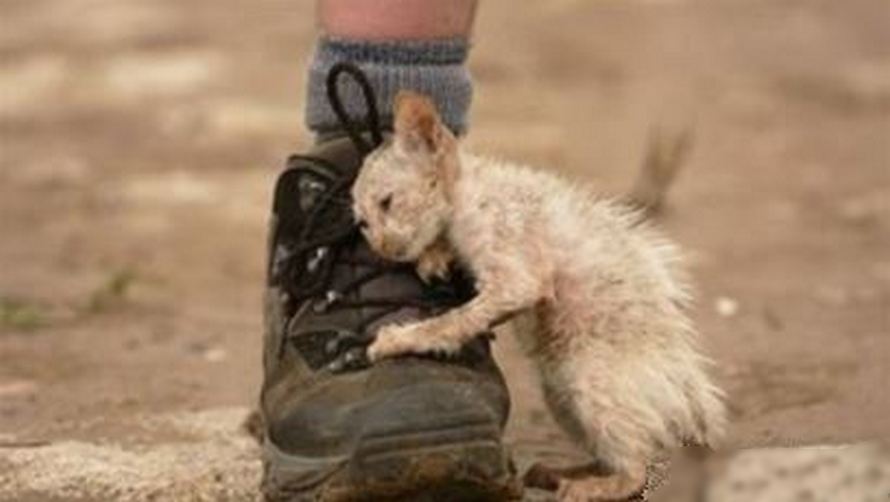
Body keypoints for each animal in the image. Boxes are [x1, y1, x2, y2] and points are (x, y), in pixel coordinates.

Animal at [348, 92, 720, 500]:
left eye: (387, 202)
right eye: (362, 223)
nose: (383, 249)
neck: (468, 193)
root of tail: (693, 400)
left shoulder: (517, 274)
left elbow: (455, 320)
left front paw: (398, 339)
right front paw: (434, 255)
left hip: (590, 380)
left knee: (637, 467)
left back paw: (590, 487)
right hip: (560, 394)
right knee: (615, 452)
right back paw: (558, 472)